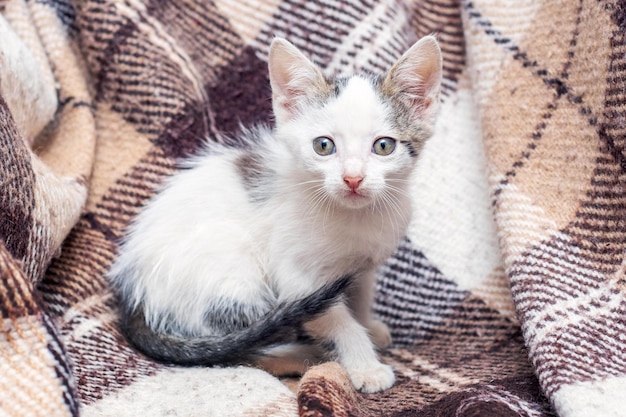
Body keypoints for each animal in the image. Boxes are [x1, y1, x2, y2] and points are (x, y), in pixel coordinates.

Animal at [109, 36, 442, 394]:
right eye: (324, 146)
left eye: (383, 146)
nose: (352, 179)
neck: (355, 217)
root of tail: (133, 296)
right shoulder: (298, 279)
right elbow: (338, 320)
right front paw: (365, 366)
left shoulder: (362, 265)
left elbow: (361, 296)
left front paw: (369, 327)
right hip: (232, 274)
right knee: (238, 350)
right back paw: (301, 355)